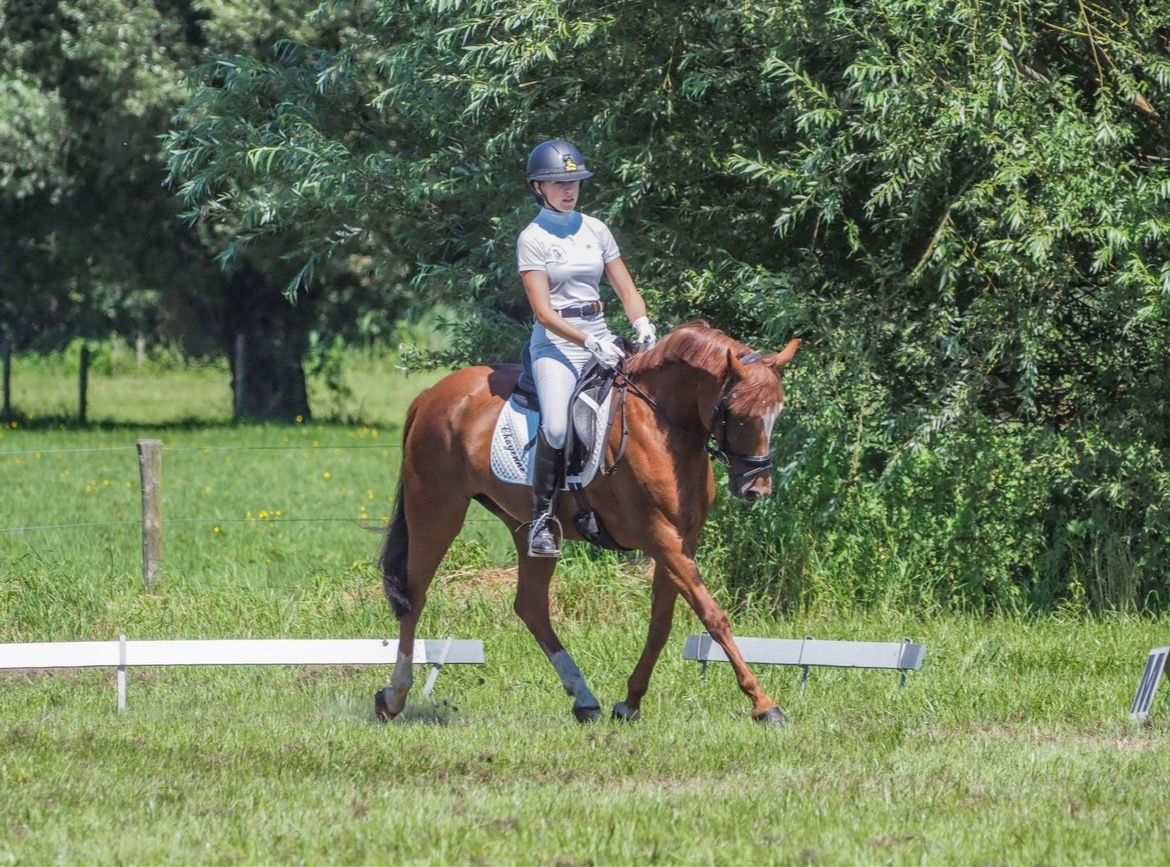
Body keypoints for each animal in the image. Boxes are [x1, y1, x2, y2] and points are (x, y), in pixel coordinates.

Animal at [375, 320, 801, 724]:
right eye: (739, 416)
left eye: (777, 414)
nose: (756, 489)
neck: (661, 425)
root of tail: (433, 394)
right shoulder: (660, 537)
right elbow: (714, 617)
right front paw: (765, 705)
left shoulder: (682, 541)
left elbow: (661, 625)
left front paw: (629, 703)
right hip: (436, 510)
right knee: (415, 596)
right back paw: (393, 698)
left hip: (526, 526)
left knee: (531, 606)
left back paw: (584, 700)